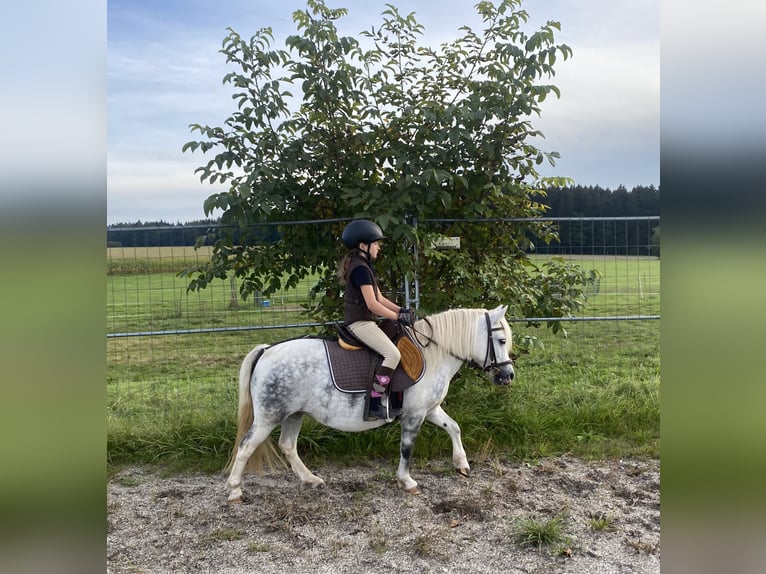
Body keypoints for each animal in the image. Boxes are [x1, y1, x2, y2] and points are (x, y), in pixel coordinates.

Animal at [226, 304, 516, 502]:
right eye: (501, 340)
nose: (508, 375)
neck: (433, 353)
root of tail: (267, 350)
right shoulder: (414, 415)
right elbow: (407, 449)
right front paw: (406, 481)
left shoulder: (430, 409)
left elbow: (454, 427)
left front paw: (461, 464)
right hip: (269, 417)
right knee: (246, 447)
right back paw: (234, 490)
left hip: (294, 414)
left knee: (287, 446)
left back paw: (311, 479)